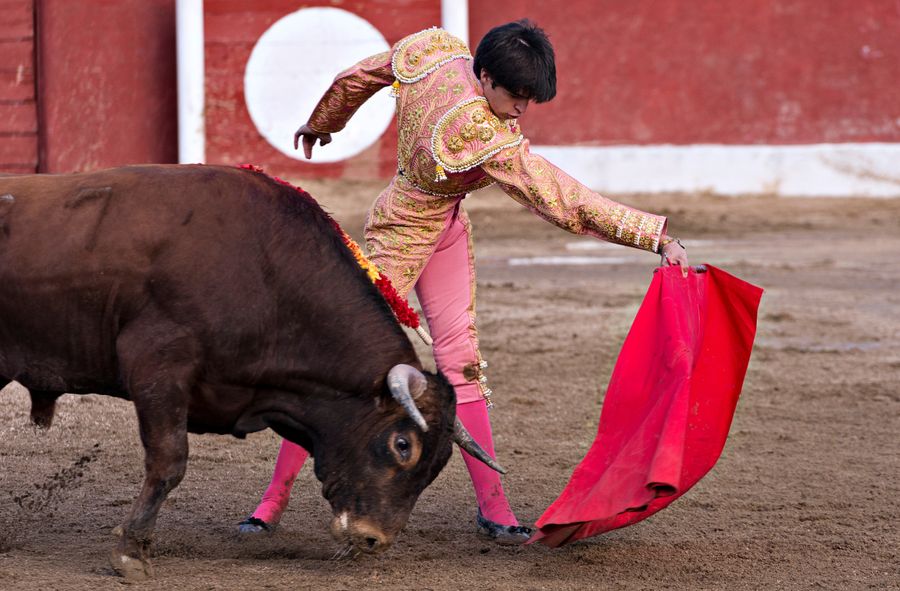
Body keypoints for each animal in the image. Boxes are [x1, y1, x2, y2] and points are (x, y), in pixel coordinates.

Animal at [0, 164, 500, 580]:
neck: (267, 273)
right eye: (402, 444)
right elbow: (168, 463)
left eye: (439, 463)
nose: (372, 539)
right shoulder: (158, 367)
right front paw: (130, 552)